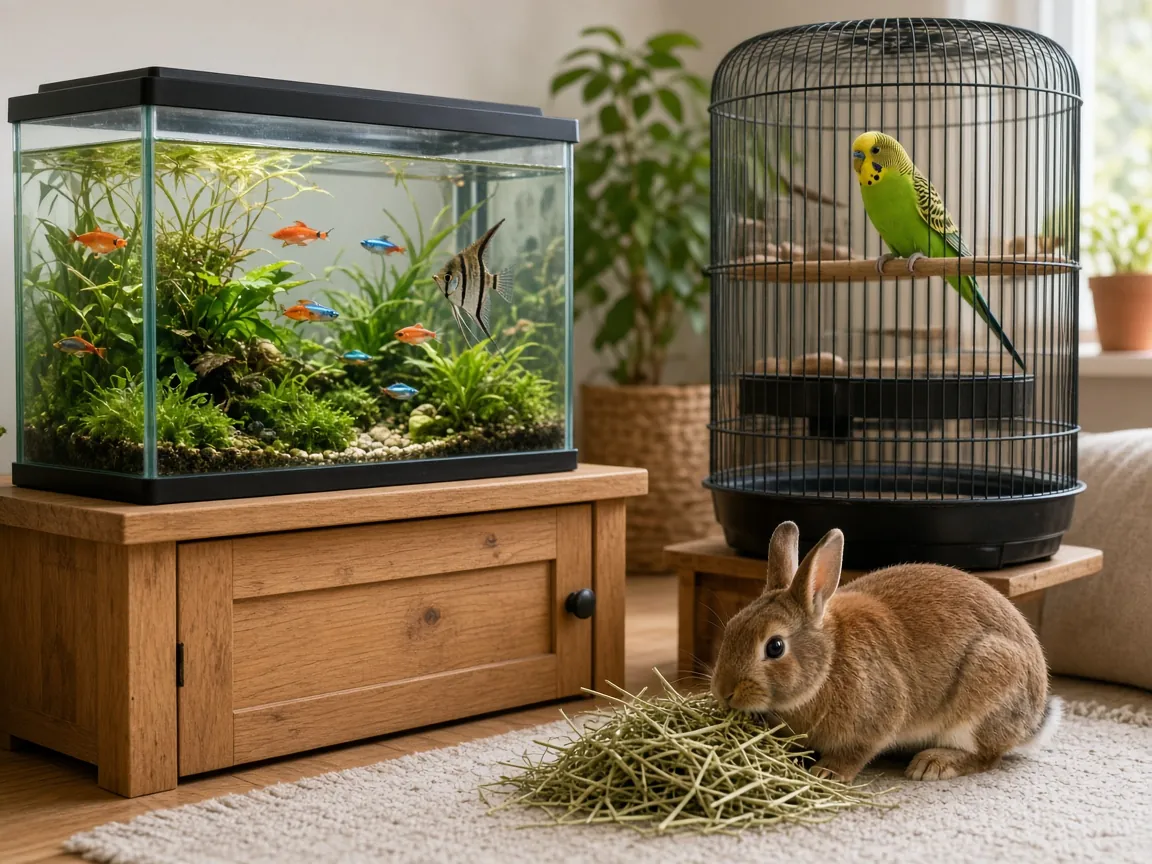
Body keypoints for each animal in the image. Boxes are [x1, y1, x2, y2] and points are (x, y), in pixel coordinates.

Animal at [711, 521, 1062, 782]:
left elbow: (858, 751)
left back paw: (932, 765)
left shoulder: (878, 716)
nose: (724, 692)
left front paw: (828, 772)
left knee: (987, 756)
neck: (829, 662)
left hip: (985, 689)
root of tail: (1033, 720)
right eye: (731, 628)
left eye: (775, 646)